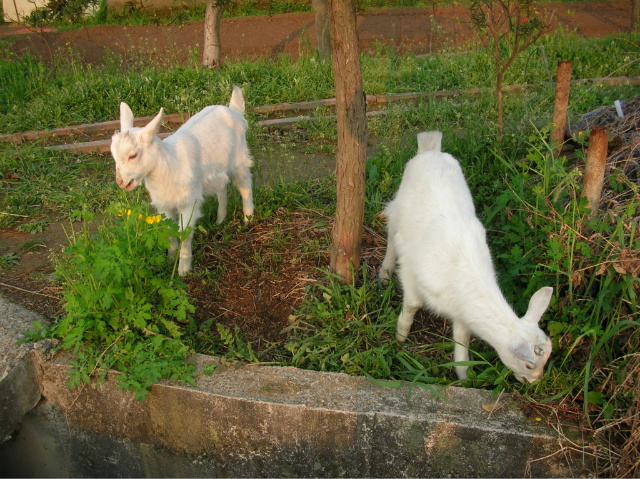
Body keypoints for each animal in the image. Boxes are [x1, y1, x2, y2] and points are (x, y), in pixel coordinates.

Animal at [111, 84, 254, 276]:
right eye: (113, 155)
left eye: (133, 155)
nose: (120, 181)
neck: (171, 164)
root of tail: (233, 110)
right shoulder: (165, 205)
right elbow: (170, 232)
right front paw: (170, 258)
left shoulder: (189, 202)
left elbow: (184, 233)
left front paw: (183, 269)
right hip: (216, 170)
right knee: (222, 188)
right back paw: (220, 219)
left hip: (239, 159)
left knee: (245, 184)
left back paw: (248, 217)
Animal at [380, 130, 556, 382]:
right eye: (529, 364)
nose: (533, 381)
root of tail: (430, 149)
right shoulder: (412, 269)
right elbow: (413, 303)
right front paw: (400, 337)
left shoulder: (461, 313)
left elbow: (462, 341)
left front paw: (463, 377)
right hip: (398, 208)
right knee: (392, 234)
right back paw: (384, 273)